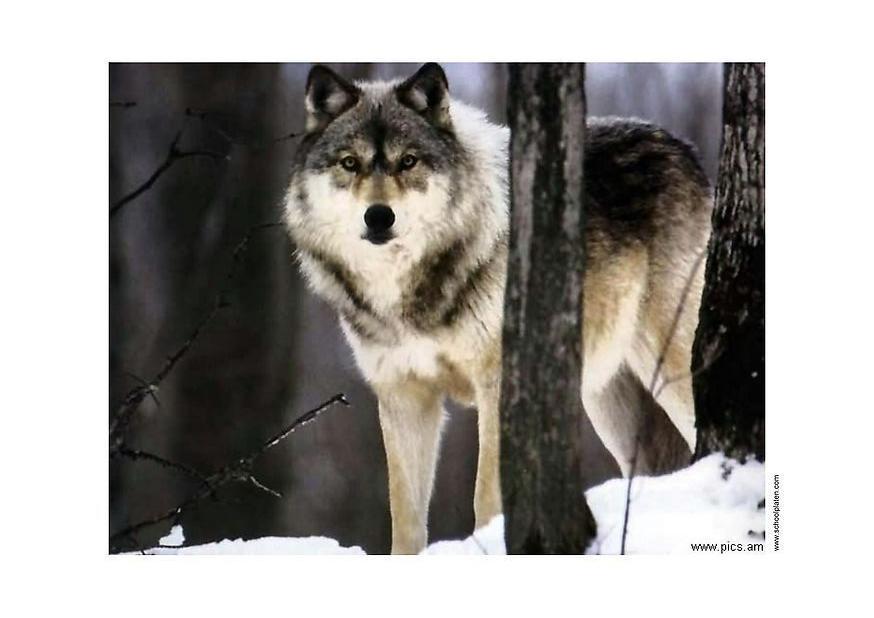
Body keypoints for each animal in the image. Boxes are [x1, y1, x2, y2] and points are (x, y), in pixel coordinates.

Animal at [284, 63, 712, 554]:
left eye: (408, 161)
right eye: (349, 163)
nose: (378, 216)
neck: (407, 291)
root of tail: (682, 146)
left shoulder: (497, 384)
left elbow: (486, 495)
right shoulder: (403, 395)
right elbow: (405, 517)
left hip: (671, 369)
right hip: (606, 400)